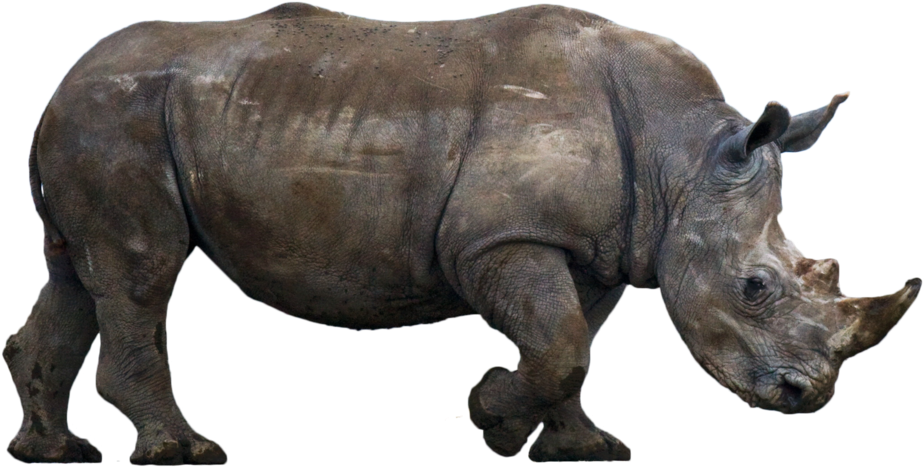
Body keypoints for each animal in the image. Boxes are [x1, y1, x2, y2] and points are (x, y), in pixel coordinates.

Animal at [4, 2, 920, 464]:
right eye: (755, 287)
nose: (807, 397)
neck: (682, 155)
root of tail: (62, 82)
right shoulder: (500, 238)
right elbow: (559, 345)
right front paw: (490, 414)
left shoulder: (596, 249)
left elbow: (571, 346)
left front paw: (581, 447)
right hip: (116, 118)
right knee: (140, 272)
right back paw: (184, 452)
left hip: (105, 118)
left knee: (77, 276)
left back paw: (53, 453)